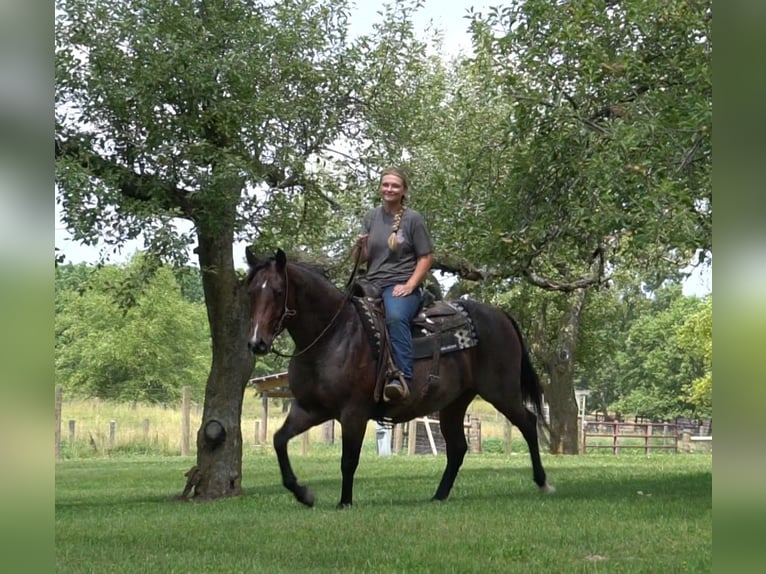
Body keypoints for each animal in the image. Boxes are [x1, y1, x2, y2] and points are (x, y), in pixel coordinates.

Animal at [245, 248, 554, 508]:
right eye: (251, 291)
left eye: (278, 290)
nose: (257, 343)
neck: (332, 334)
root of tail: (500, 314)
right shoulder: (309, 409)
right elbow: (279, 440)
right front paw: (303, 494)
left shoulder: (353, 412)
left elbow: (348, 460)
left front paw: (344, 503)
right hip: (454, 403)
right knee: (457, 447)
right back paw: (438, 496)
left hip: (501, 391)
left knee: (528, 423)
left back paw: (543, 482)